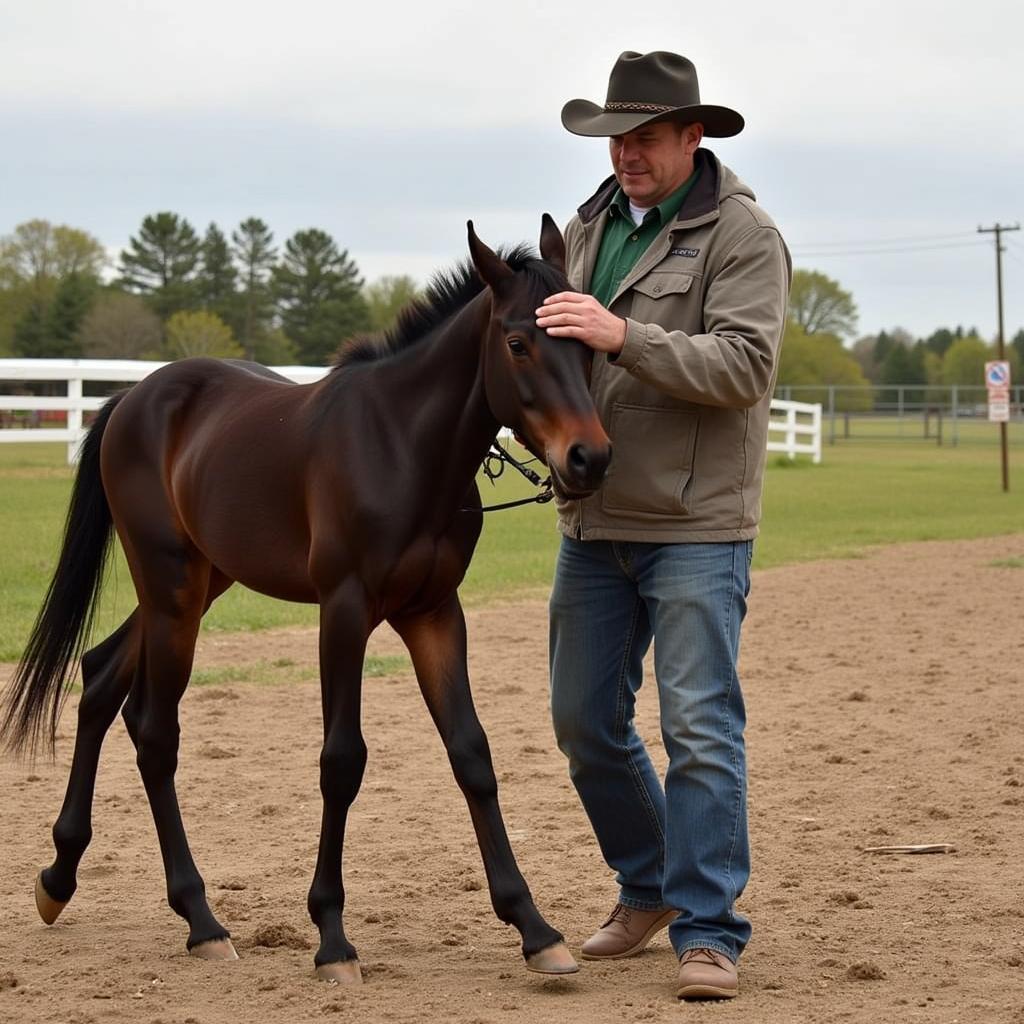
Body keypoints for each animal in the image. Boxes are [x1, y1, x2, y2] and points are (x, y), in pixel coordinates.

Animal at [2, 218, 606, 983]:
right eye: (519, 342)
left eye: (587, 342)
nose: (590, 459)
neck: (401, 446)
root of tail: (133, 400)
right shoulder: (343, 612)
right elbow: (341, 760)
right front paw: (332, 937)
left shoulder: (435, 613)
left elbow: (471, 753)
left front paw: (533, 927)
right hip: (171, 587)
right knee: (155, 732)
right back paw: (200, 920)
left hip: (202, 581)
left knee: (103, 678)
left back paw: (59, 877)